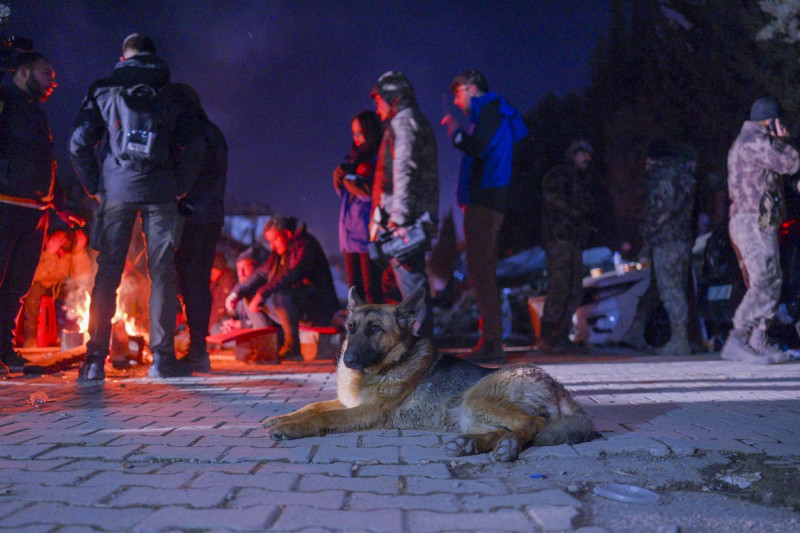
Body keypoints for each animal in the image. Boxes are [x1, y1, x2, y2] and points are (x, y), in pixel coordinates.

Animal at [264, 286, 600, 462]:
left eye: (375, 329)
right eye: (351, 328)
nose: (348, 360)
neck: (387, 364)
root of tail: (558, 387)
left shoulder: (365, 411)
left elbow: (323, 416)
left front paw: (292, 428)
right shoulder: (349, 404)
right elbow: (313, 406)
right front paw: (282, 417)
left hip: (478, 399)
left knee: (533, 423)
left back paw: (506, 448)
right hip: (471, 415)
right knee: (508, 429)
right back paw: (472, 445)